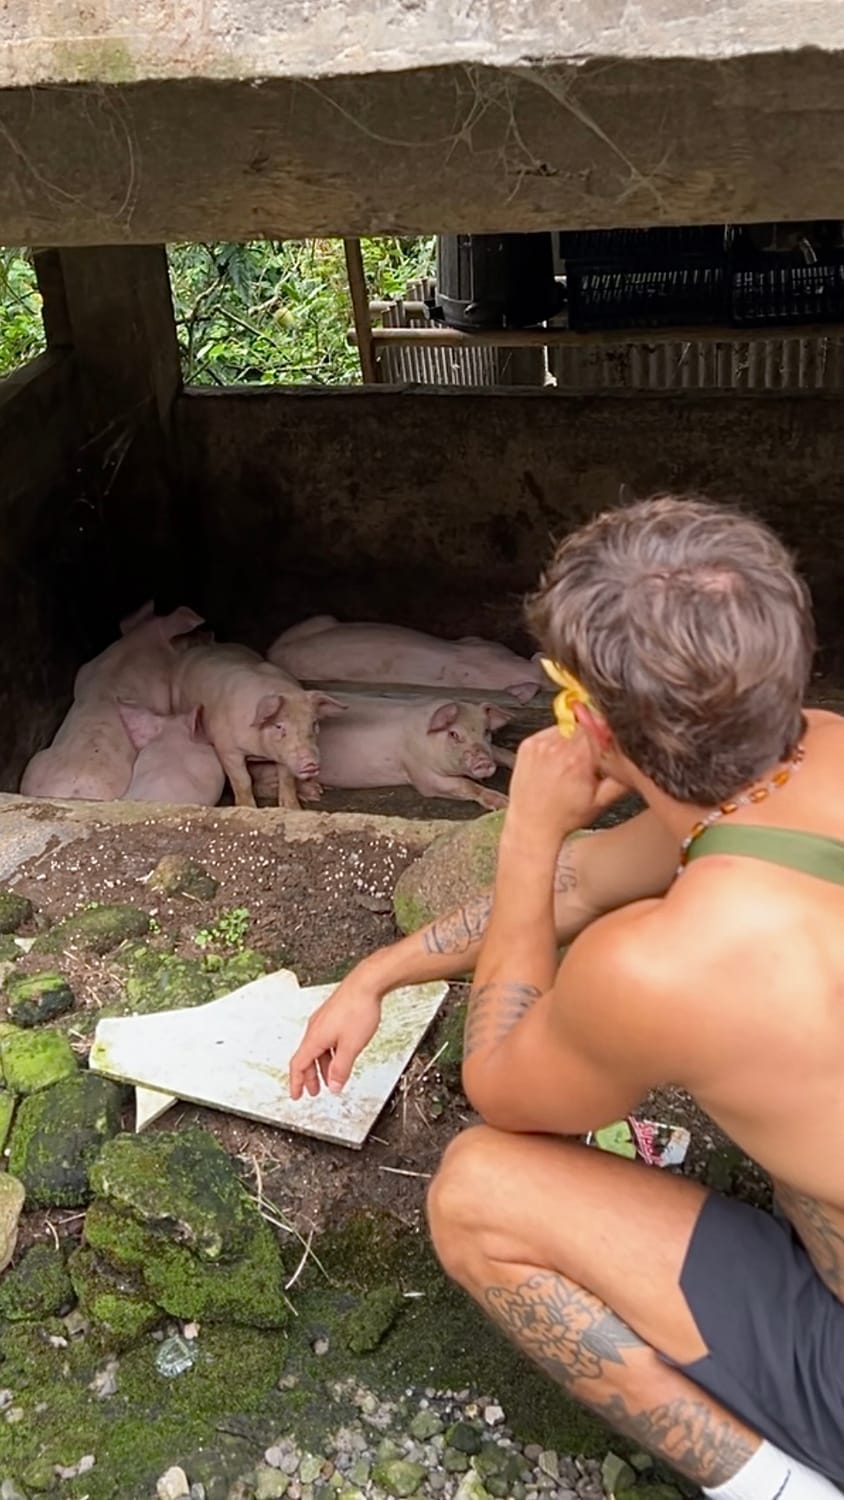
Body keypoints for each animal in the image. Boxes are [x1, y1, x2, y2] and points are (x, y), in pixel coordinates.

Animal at [172, 642, 344, 809]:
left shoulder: (283, 755)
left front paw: (293, 808)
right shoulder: (227, 749)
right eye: (279, 726)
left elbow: (287, 780)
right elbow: (243, 781)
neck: (260, 751)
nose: (310, 763)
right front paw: (248, 808)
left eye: (314, 723)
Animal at [254, 694, 515, 811]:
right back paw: (314, 792)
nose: (484, 762)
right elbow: (465, 785)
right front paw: (504, 803)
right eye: (454, 734)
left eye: (486, 731)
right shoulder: (421, 774)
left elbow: (501, 752)